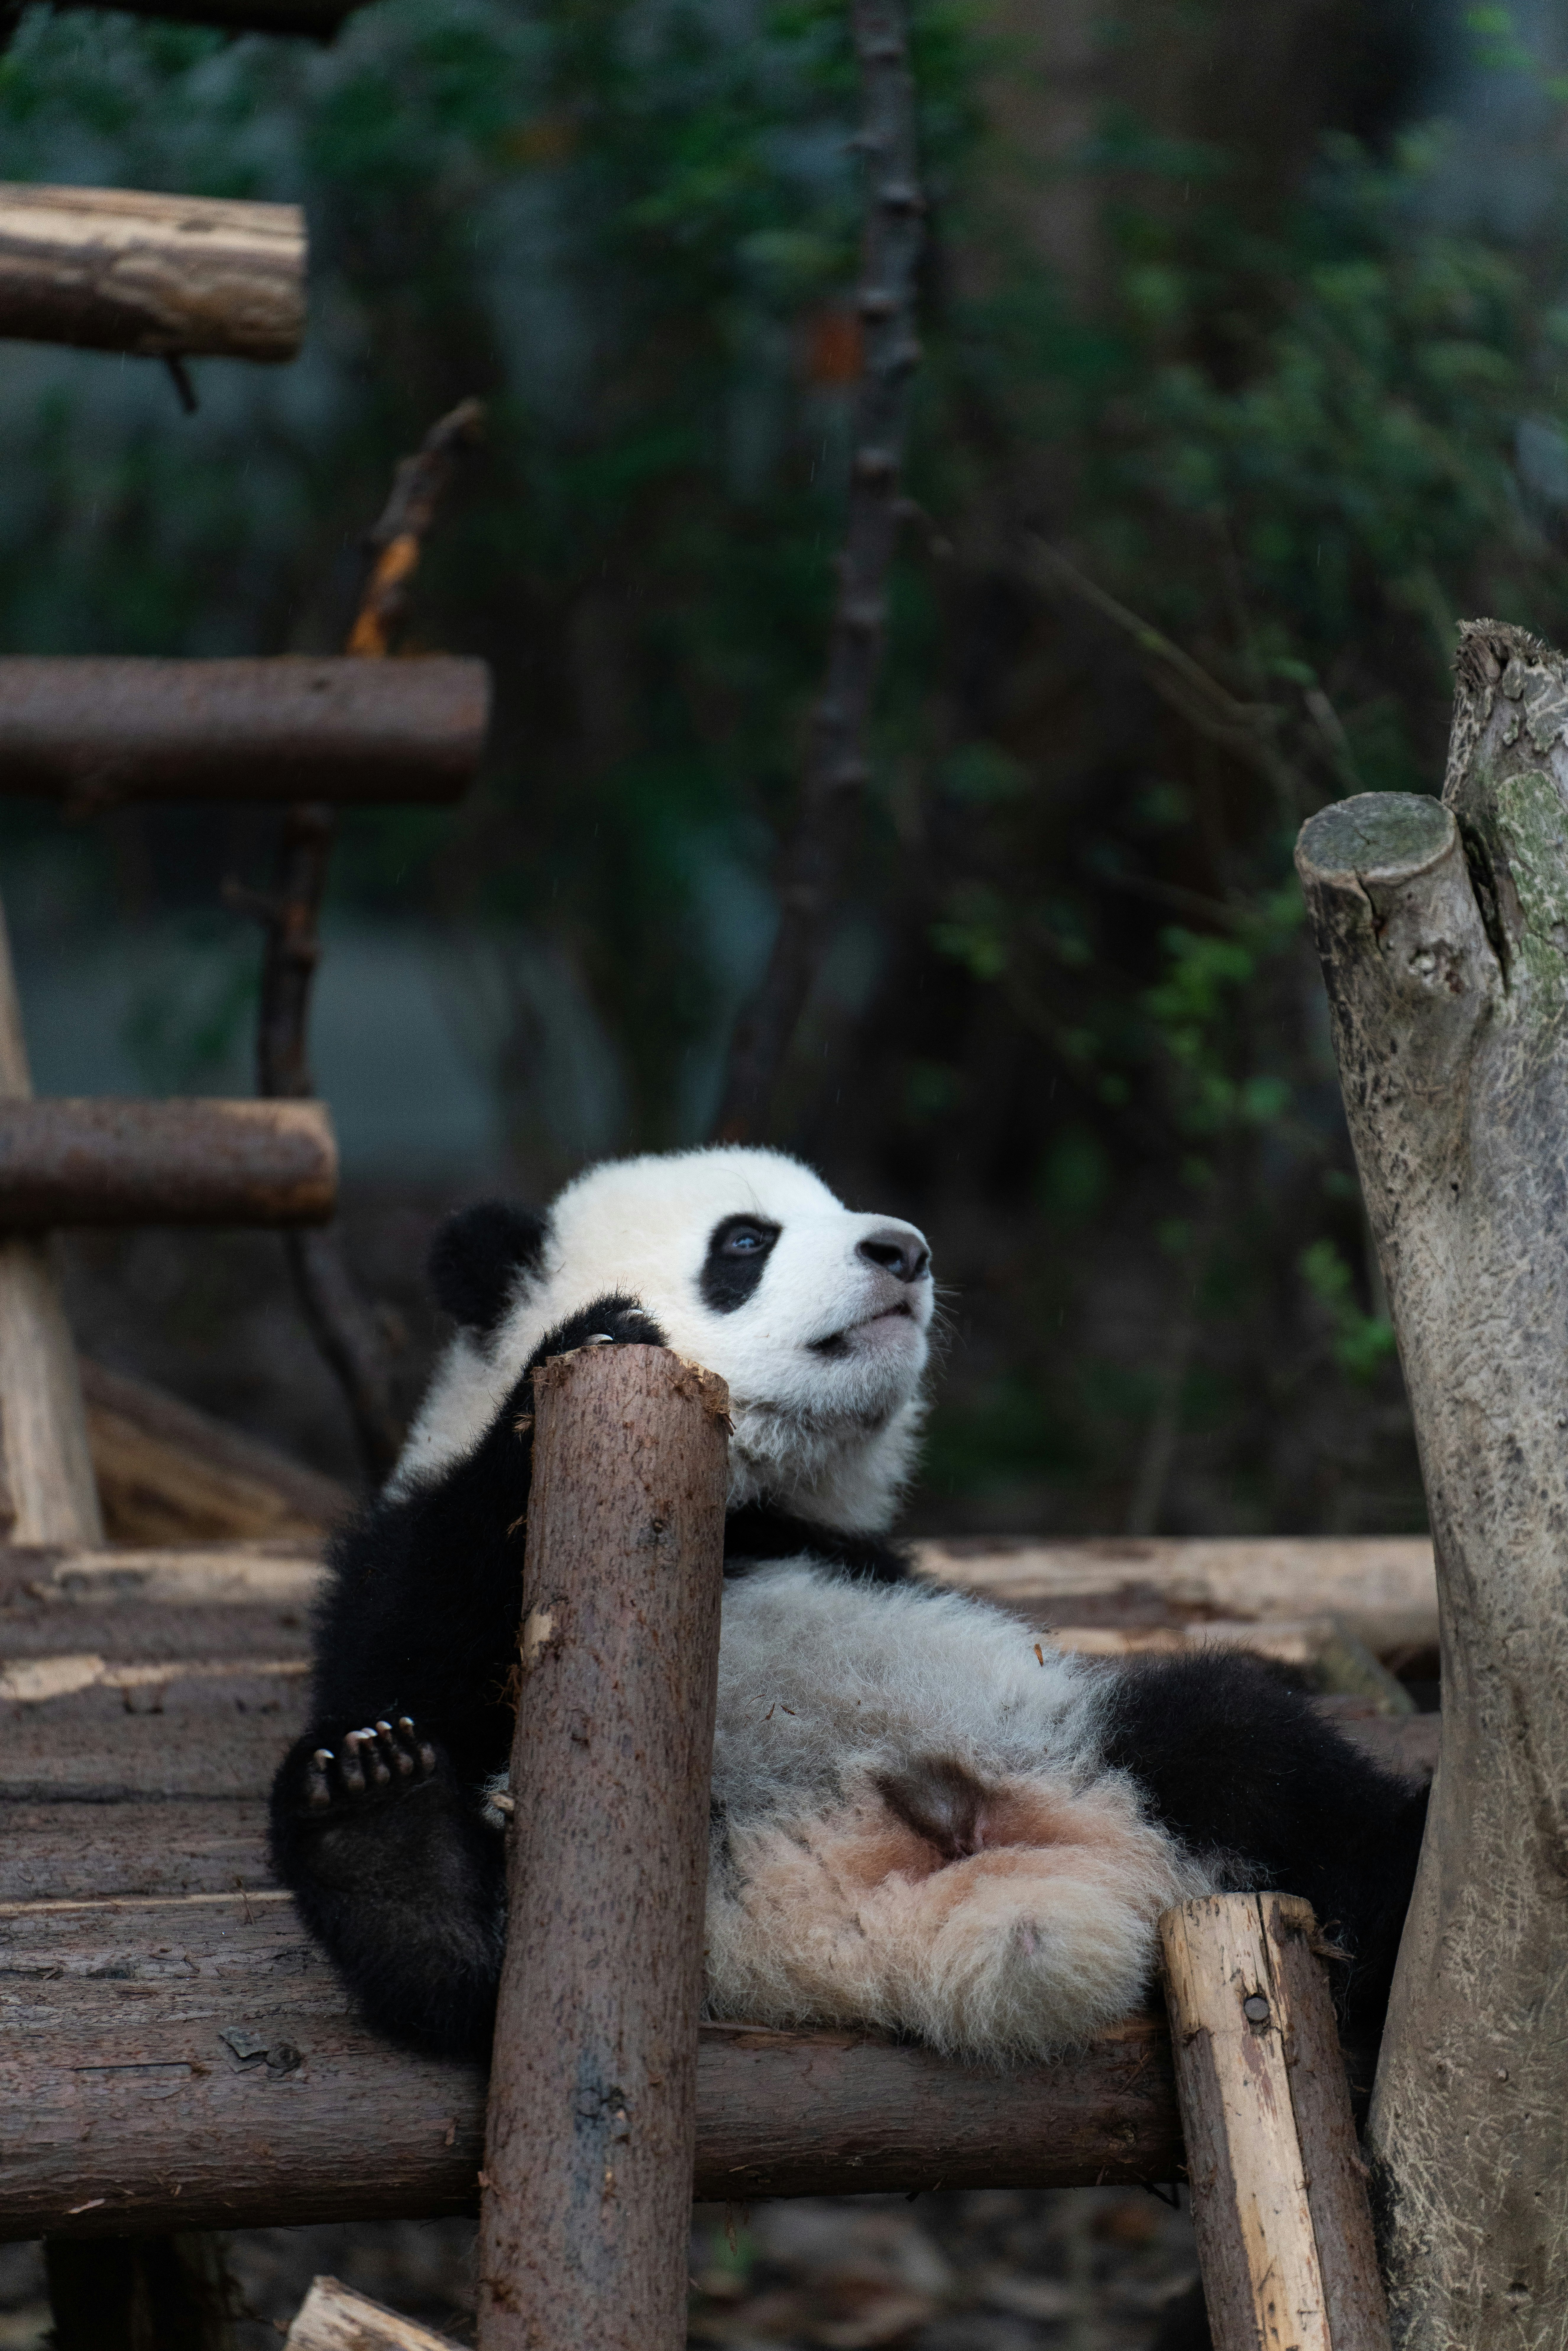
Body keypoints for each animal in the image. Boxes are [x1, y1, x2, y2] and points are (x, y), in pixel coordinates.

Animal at [269, 1144, 1427, 2072]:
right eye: (745, 1240)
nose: (902, 1251)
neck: (753, 1496)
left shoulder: (861, 1555)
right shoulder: (408, 1546)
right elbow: (406, 1642)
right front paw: (594, 1335)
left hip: (1064, 1736)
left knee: (1252, 1757)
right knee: (466, 1982)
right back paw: (385, 1840)